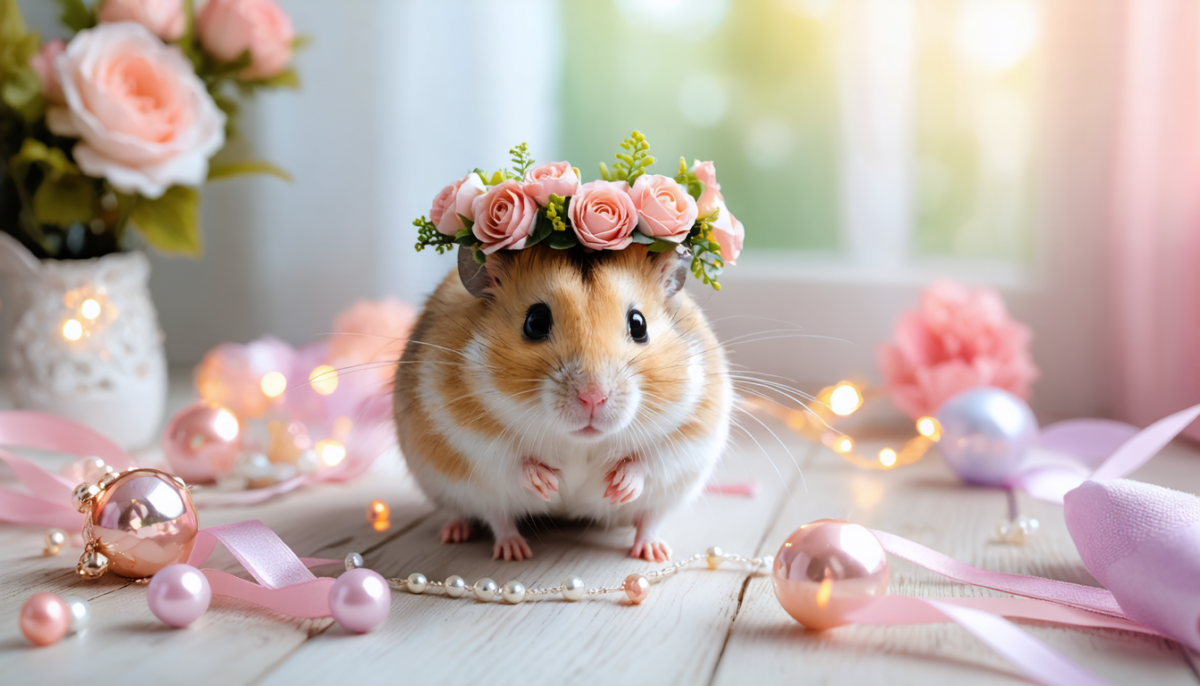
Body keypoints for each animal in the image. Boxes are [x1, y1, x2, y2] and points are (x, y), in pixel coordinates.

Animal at [393, 243, 731, 562]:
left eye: (639, 324)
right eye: (536, 321)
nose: (593, 396)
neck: (581, 442)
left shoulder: (695, 431)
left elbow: (649, 460)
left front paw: (617, 486)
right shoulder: (459, 429)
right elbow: (509, 461)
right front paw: (549, 484)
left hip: (669, 496)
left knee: (650, 519)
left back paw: (653, 552)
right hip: (465, 492)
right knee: (495, 517)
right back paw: (497, 547)